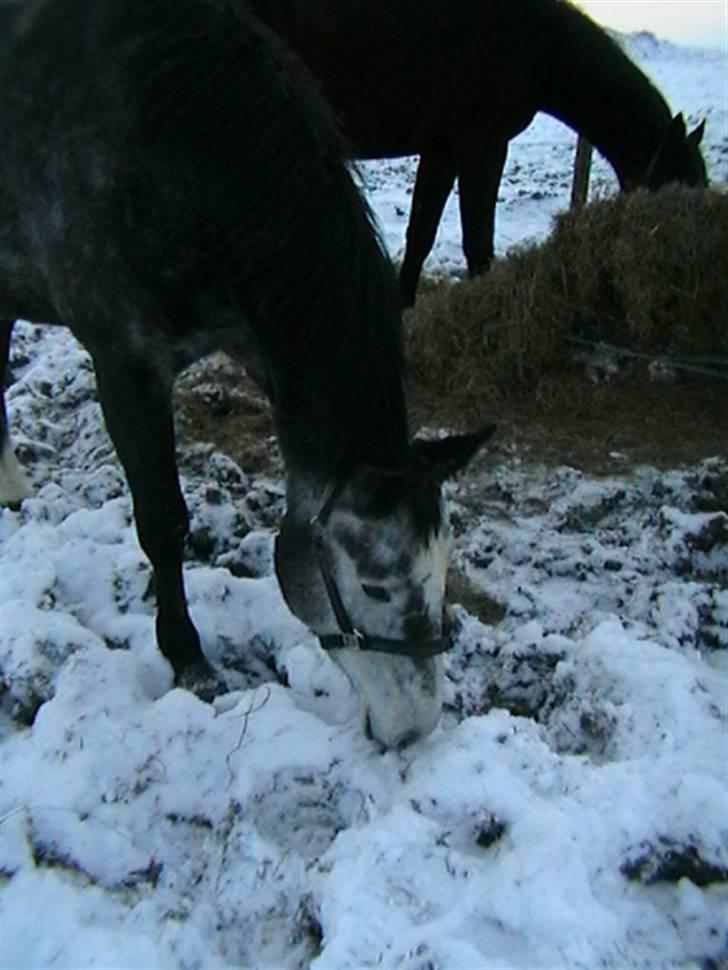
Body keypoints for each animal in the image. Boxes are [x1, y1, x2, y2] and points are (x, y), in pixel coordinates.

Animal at [0, 0, 492, 748]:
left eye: (442, 572)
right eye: (375, 586)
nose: (414, 730)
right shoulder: (125, 365)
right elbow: (162, 521)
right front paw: (188, 657)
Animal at [247, 0, 708, 304]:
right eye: (674, 187)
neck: (532, 44)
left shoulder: (441, 150)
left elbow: (421, 234)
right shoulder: (483, 145)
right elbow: (478, 240)